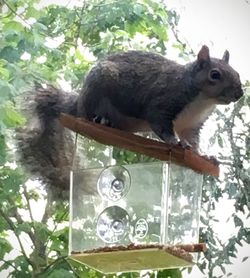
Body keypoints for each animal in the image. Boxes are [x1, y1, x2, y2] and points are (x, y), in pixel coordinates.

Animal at [16, 46, 243, 193]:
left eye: (237, 73)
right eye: (215, 75)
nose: (239, 93)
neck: (202, 101)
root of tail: (78, 100)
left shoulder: (192, 125)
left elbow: (194, 143)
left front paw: (204, 156)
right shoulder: (162, 104)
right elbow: (162, 127)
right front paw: (176, 142)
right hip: (96, 91)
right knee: (86, 114)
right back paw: (101, 120)